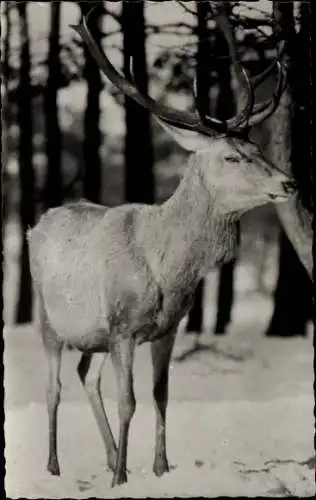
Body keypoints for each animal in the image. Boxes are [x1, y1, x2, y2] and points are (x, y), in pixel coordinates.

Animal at [27, 4, 296, 488]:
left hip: (93, 335)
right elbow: (129, 400)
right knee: (53, 386)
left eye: (259, 146)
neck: (171, 271)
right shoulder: (122, 326)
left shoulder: (168, 327)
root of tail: (38, 223)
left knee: (86, 376)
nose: (289, 183)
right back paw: (55, 466)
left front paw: (158, 468)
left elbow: (160, 395)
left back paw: (111, 456)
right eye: (231, 156)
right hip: (49, 317)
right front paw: (121, 480)